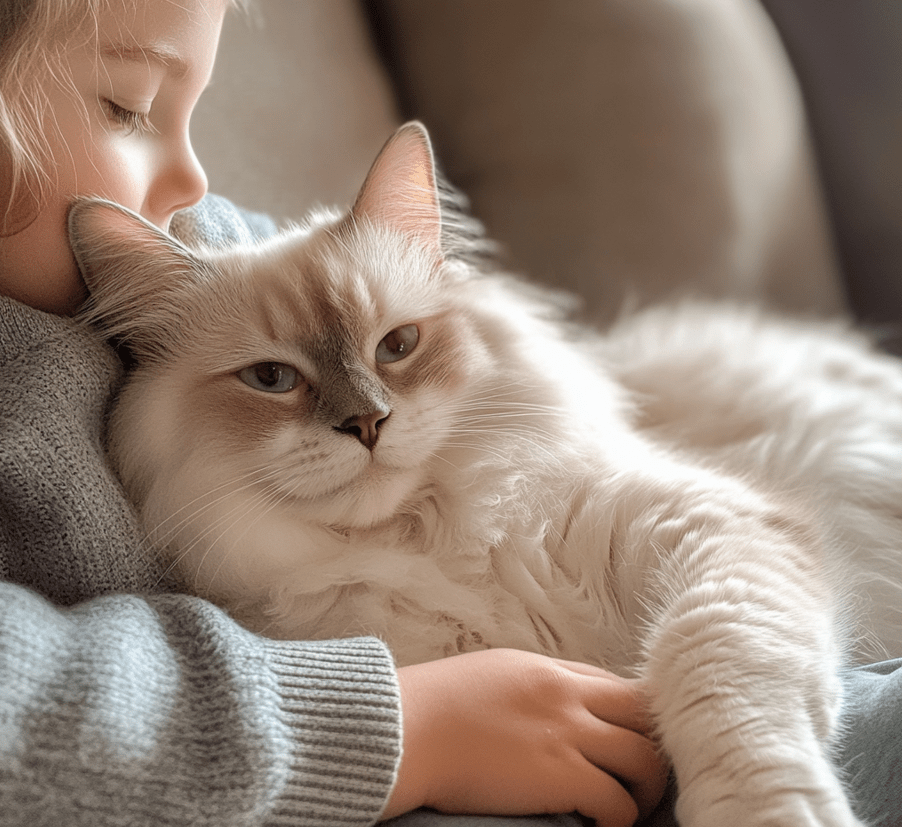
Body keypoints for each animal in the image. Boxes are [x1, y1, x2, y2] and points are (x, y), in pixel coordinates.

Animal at [69, 123, 902, 827]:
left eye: (396, 347)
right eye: (272, 379)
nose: (367, 424)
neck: (428, 537)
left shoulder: (713, 531)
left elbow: (714, 677)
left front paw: (769, 813)